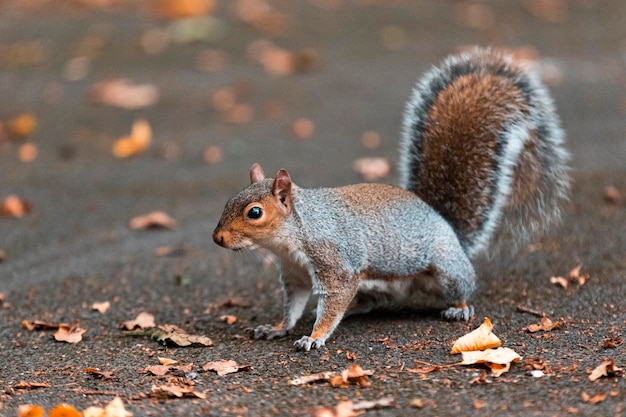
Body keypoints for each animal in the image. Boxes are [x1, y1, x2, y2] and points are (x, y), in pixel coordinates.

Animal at [212, 47, 568, 350]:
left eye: (254, 212)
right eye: (229, 200)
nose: (218, 238)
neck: (292, 236)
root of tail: (448, 228)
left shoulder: (335, 264)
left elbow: (333, 302)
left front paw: (314, 337)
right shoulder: (295, 275)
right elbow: (293, 306)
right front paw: (276, 328)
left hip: (446, 270)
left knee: (464, 287)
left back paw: (460, 308)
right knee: (371, 301)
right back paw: (357, 309)